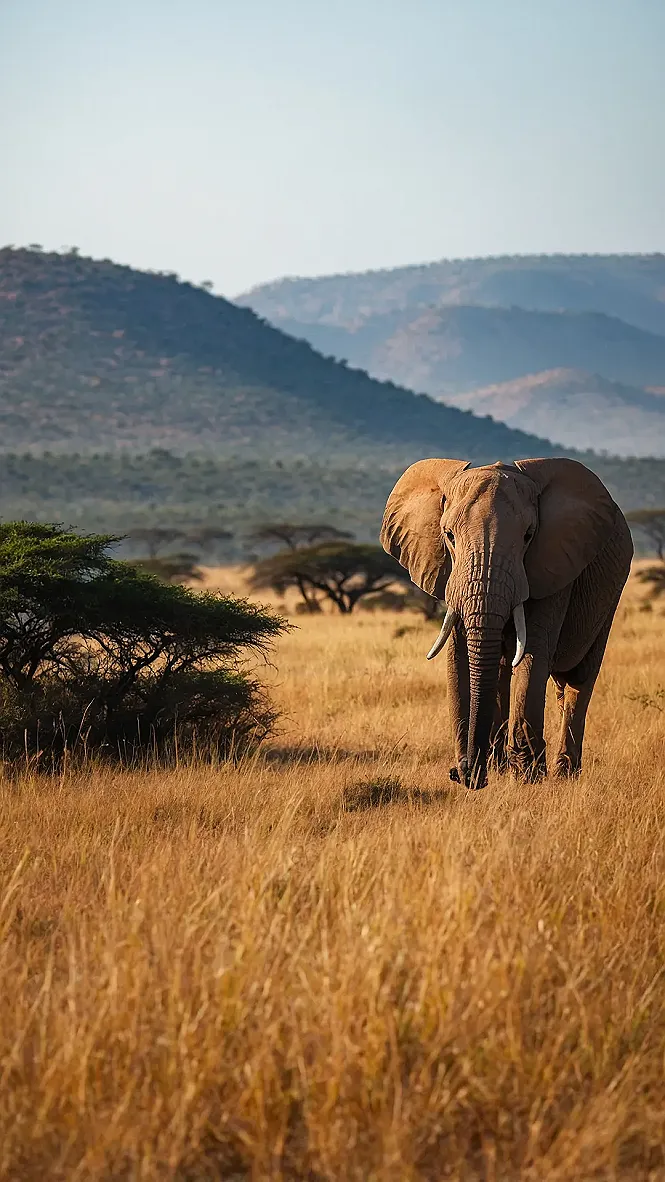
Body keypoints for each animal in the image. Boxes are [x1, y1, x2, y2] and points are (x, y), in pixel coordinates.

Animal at [381, 457, 633, 789]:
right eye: (448, 535)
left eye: (528, 536)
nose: (462, 774)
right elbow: (458, 655)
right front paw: (485, 772)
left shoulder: (551, 566)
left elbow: (533, 653)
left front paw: (528, 779)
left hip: (610, 593)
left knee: (579, 678)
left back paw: (564, 775)